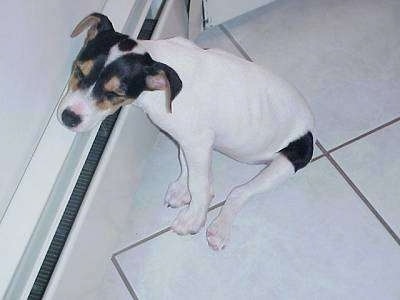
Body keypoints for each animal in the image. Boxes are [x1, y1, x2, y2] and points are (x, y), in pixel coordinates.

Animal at [58, 12, 316, 250]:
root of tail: (310, 127)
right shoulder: (186, 138)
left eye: (114, 94)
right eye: (78, 71)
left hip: (287, 162)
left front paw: (194, 217)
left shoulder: (199, 142)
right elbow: (185, 164)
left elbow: (200, 183)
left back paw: (220, 228)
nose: (68, 117)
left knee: (238, 194)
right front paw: (182, 188)